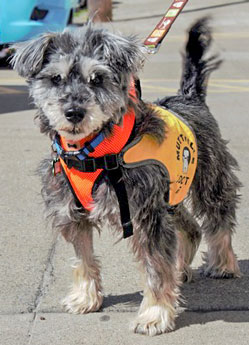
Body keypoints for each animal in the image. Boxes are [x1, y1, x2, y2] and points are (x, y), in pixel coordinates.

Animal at [11, 17, 241, 334]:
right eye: (55, 78)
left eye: (97, 78)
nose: (73, 112)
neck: (93, 150)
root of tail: (190, 96)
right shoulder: (74, 214)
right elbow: (83, 258)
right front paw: (85, 298)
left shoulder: (146, 216)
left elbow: (155, 267)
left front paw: (154, 314)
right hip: (170, 196)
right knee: (191, 227)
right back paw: (180, 269)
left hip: (210, 179)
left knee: (219, 219)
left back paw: (223, 265)